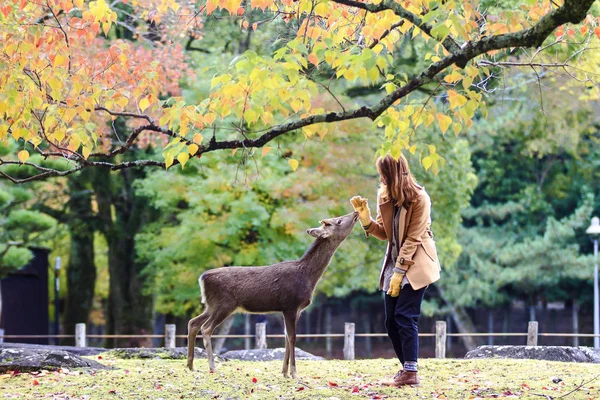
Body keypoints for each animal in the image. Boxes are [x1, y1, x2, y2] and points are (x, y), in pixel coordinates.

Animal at [185, 211, 358, 376]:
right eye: (338, 221)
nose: (355, 213)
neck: (308, 277)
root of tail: (202, 278)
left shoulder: (296, 309)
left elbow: (286, 337)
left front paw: (284, 372)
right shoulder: (290, 305)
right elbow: (292, 337)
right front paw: (294, 373)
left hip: (211, 305)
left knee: (193, 322)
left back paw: (191, 365)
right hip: (224, 304)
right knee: (206, 328)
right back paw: (212, 367)